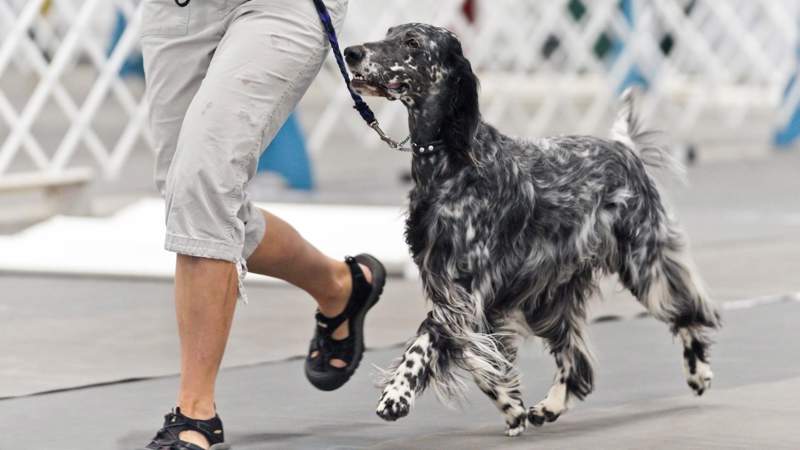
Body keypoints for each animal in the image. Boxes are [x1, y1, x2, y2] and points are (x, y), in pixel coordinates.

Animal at [344, 23, 720, 436]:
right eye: (388, 32)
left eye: (412, 42)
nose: (350, 52)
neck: (452, 163)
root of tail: (625, 149)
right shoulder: (465, 295)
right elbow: (482, 361)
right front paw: (511, 405)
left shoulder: (463, 292)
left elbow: (427, 342)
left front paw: (397, 394)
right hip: (549, 298)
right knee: (577, 363)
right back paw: (548, 407)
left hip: (643, 264)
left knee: (688, 312)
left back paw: (698, 372)